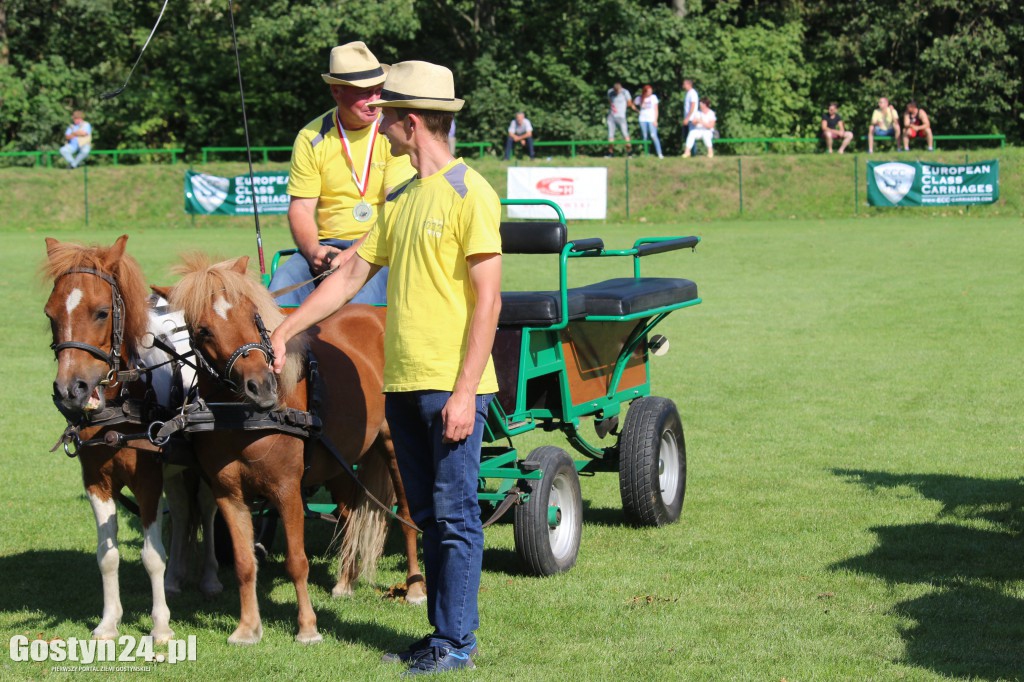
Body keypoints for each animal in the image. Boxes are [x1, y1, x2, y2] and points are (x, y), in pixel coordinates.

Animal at [40, 235, 221, 643]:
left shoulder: (147, 479)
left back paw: (210, 579)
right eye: (50, 315)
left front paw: (161, 627)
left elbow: (152, 555)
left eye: (101, 312)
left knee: (205, 509)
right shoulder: (97, 480)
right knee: (183, 511)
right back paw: (175, 580)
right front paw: (109, 622)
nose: (70, 391)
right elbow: (107, 556)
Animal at [161, 253, 425, 643]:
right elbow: (244, 562)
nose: (261, 385)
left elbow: (297, 561)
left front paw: (308, 627)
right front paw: (247, 628)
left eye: (252, 315)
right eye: (203, 330)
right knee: (349, 516)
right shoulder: (228, 493)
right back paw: (345, 582)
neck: (245, 418)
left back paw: (416, 587)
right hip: (339, 463)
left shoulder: (287, 489)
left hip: (395, 448)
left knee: (405, 515)